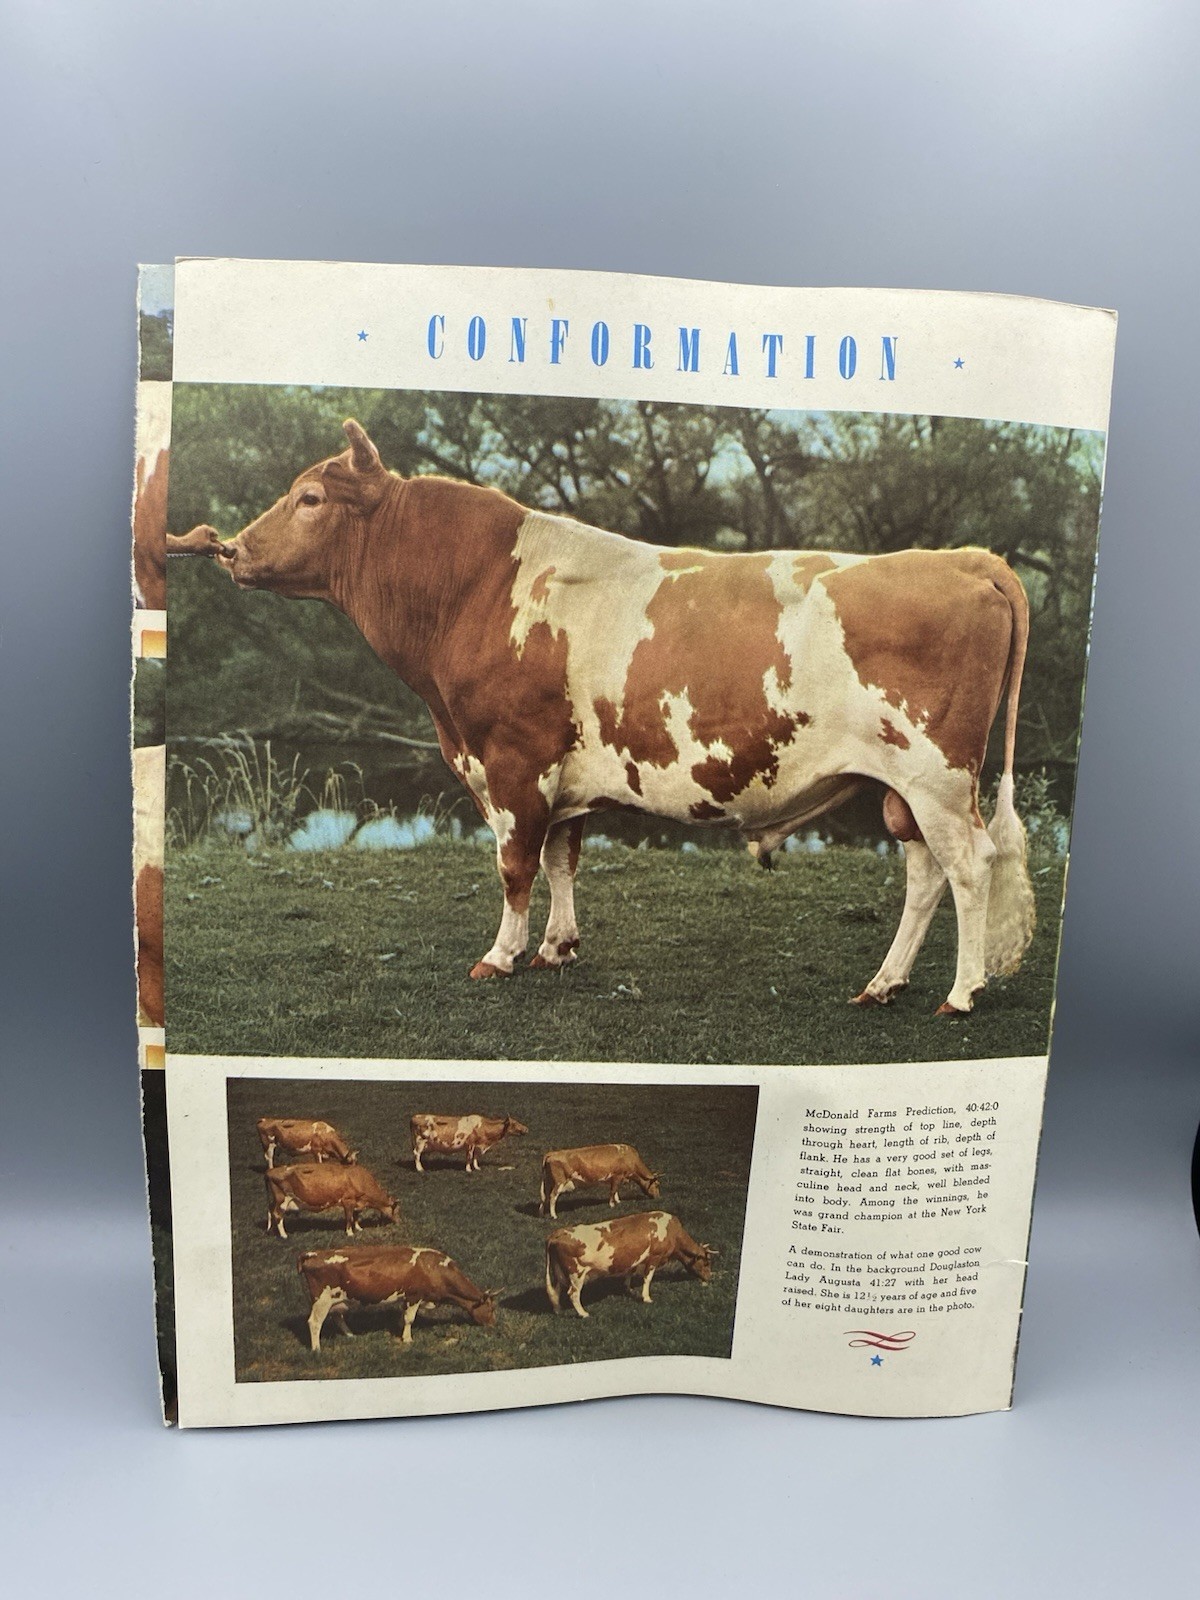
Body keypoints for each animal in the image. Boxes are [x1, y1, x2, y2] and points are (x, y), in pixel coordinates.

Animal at [205, 418, 1037, 1016]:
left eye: (310, 499)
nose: (229, 549)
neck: (477, 589)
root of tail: (966, 558)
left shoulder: (512, 760)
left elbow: (514, 864)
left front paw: (501, 956)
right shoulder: (563, 770)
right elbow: (561, 858)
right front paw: (557, 947)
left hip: (937, 775)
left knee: (969, 866)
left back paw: (960, 994)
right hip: (900, 787)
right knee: (924, 873)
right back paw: (884, 984)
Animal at [265, 1163, 400, 1239]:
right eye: (396, 1210)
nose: (399, 1222)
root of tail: (270, 1171)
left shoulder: (356, 1202)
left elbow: (356, 1215)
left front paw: (359, 1228)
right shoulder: (348, 1200)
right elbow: (349, 1217)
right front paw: (350, 1233)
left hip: (275, 1200)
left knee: (270, 1211)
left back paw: (271, 1231)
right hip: (282, 1200)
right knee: (277, 1215)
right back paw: (284, 1235)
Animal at [298, 1245, 499, 1351]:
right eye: (491, 1308)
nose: (493, 1324)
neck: (434, 1268)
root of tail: (312, 1254)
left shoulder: (406, 1299)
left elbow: (403, 1318)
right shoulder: (414, 1296)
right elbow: (410, 1319)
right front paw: (408, 1339)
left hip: (336, 1299)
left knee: (337, 1316)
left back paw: (350, 1335)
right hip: (322, 1299)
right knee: (314, 1322)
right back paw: (317, 1349)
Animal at [545, 1210, 715, 1318]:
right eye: (706, 1263)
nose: (709, 1278)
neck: (671, 1231)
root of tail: (557, 1233)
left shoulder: (634, 1258)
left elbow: (630, 1272)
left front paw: (629, 1288)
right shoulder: (654, 1257)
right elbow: (647, 1278)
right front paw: (646, 1298)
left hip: (559, 1271)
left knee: (556, 1290)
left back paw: (558, 1310)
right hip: (576, 1272)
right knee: (573, 1293)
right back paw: (583, 1314)